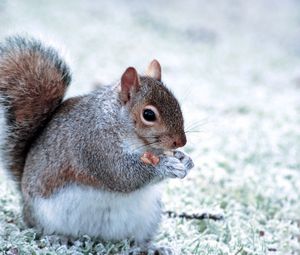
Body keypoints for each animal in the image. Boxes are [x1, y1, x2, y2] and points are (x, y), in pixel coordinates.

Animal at [0, 35, 195, 253]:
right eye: (148, 114)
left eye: (177, 104)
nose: (181, 142)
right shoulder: (94, 145)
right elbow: (122, 175)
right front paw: (166, 166)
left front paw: (185, 159)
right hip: (44, 215)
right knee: (41, 229)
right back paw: (58, 238)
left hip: (147, 217)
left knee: (135, 239)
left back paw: (150, 247)